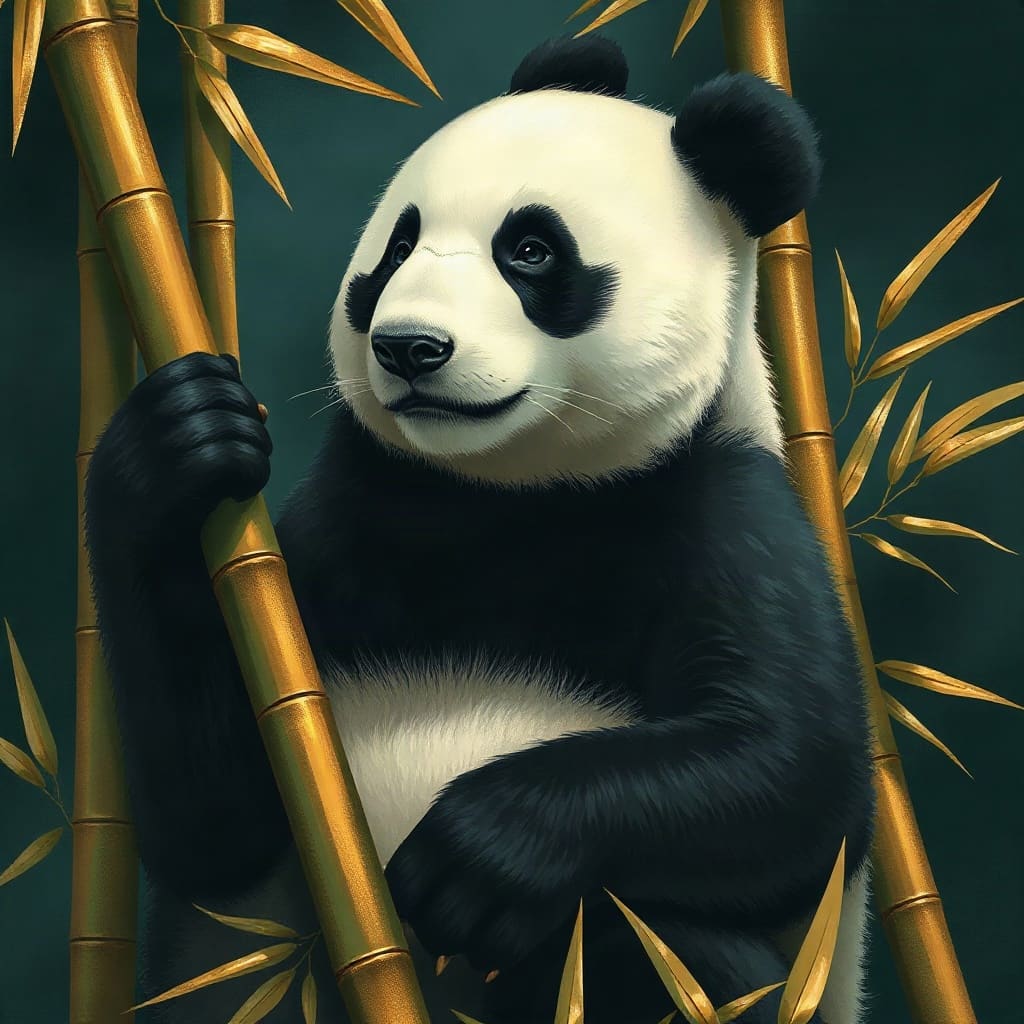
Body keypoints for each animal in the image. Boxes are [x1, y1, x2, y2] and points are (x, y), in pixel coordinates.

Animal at [85, 34, 876, 1024]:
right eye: (397, 247)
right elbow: (213, 820)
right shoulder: (348, 524)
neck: (502, 493)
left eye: (530, 251)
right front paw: (182, 439)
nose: (410, 348)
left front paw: (475, 856)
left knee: (652, 951)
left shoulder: (724, 511)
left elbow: (800, 781)